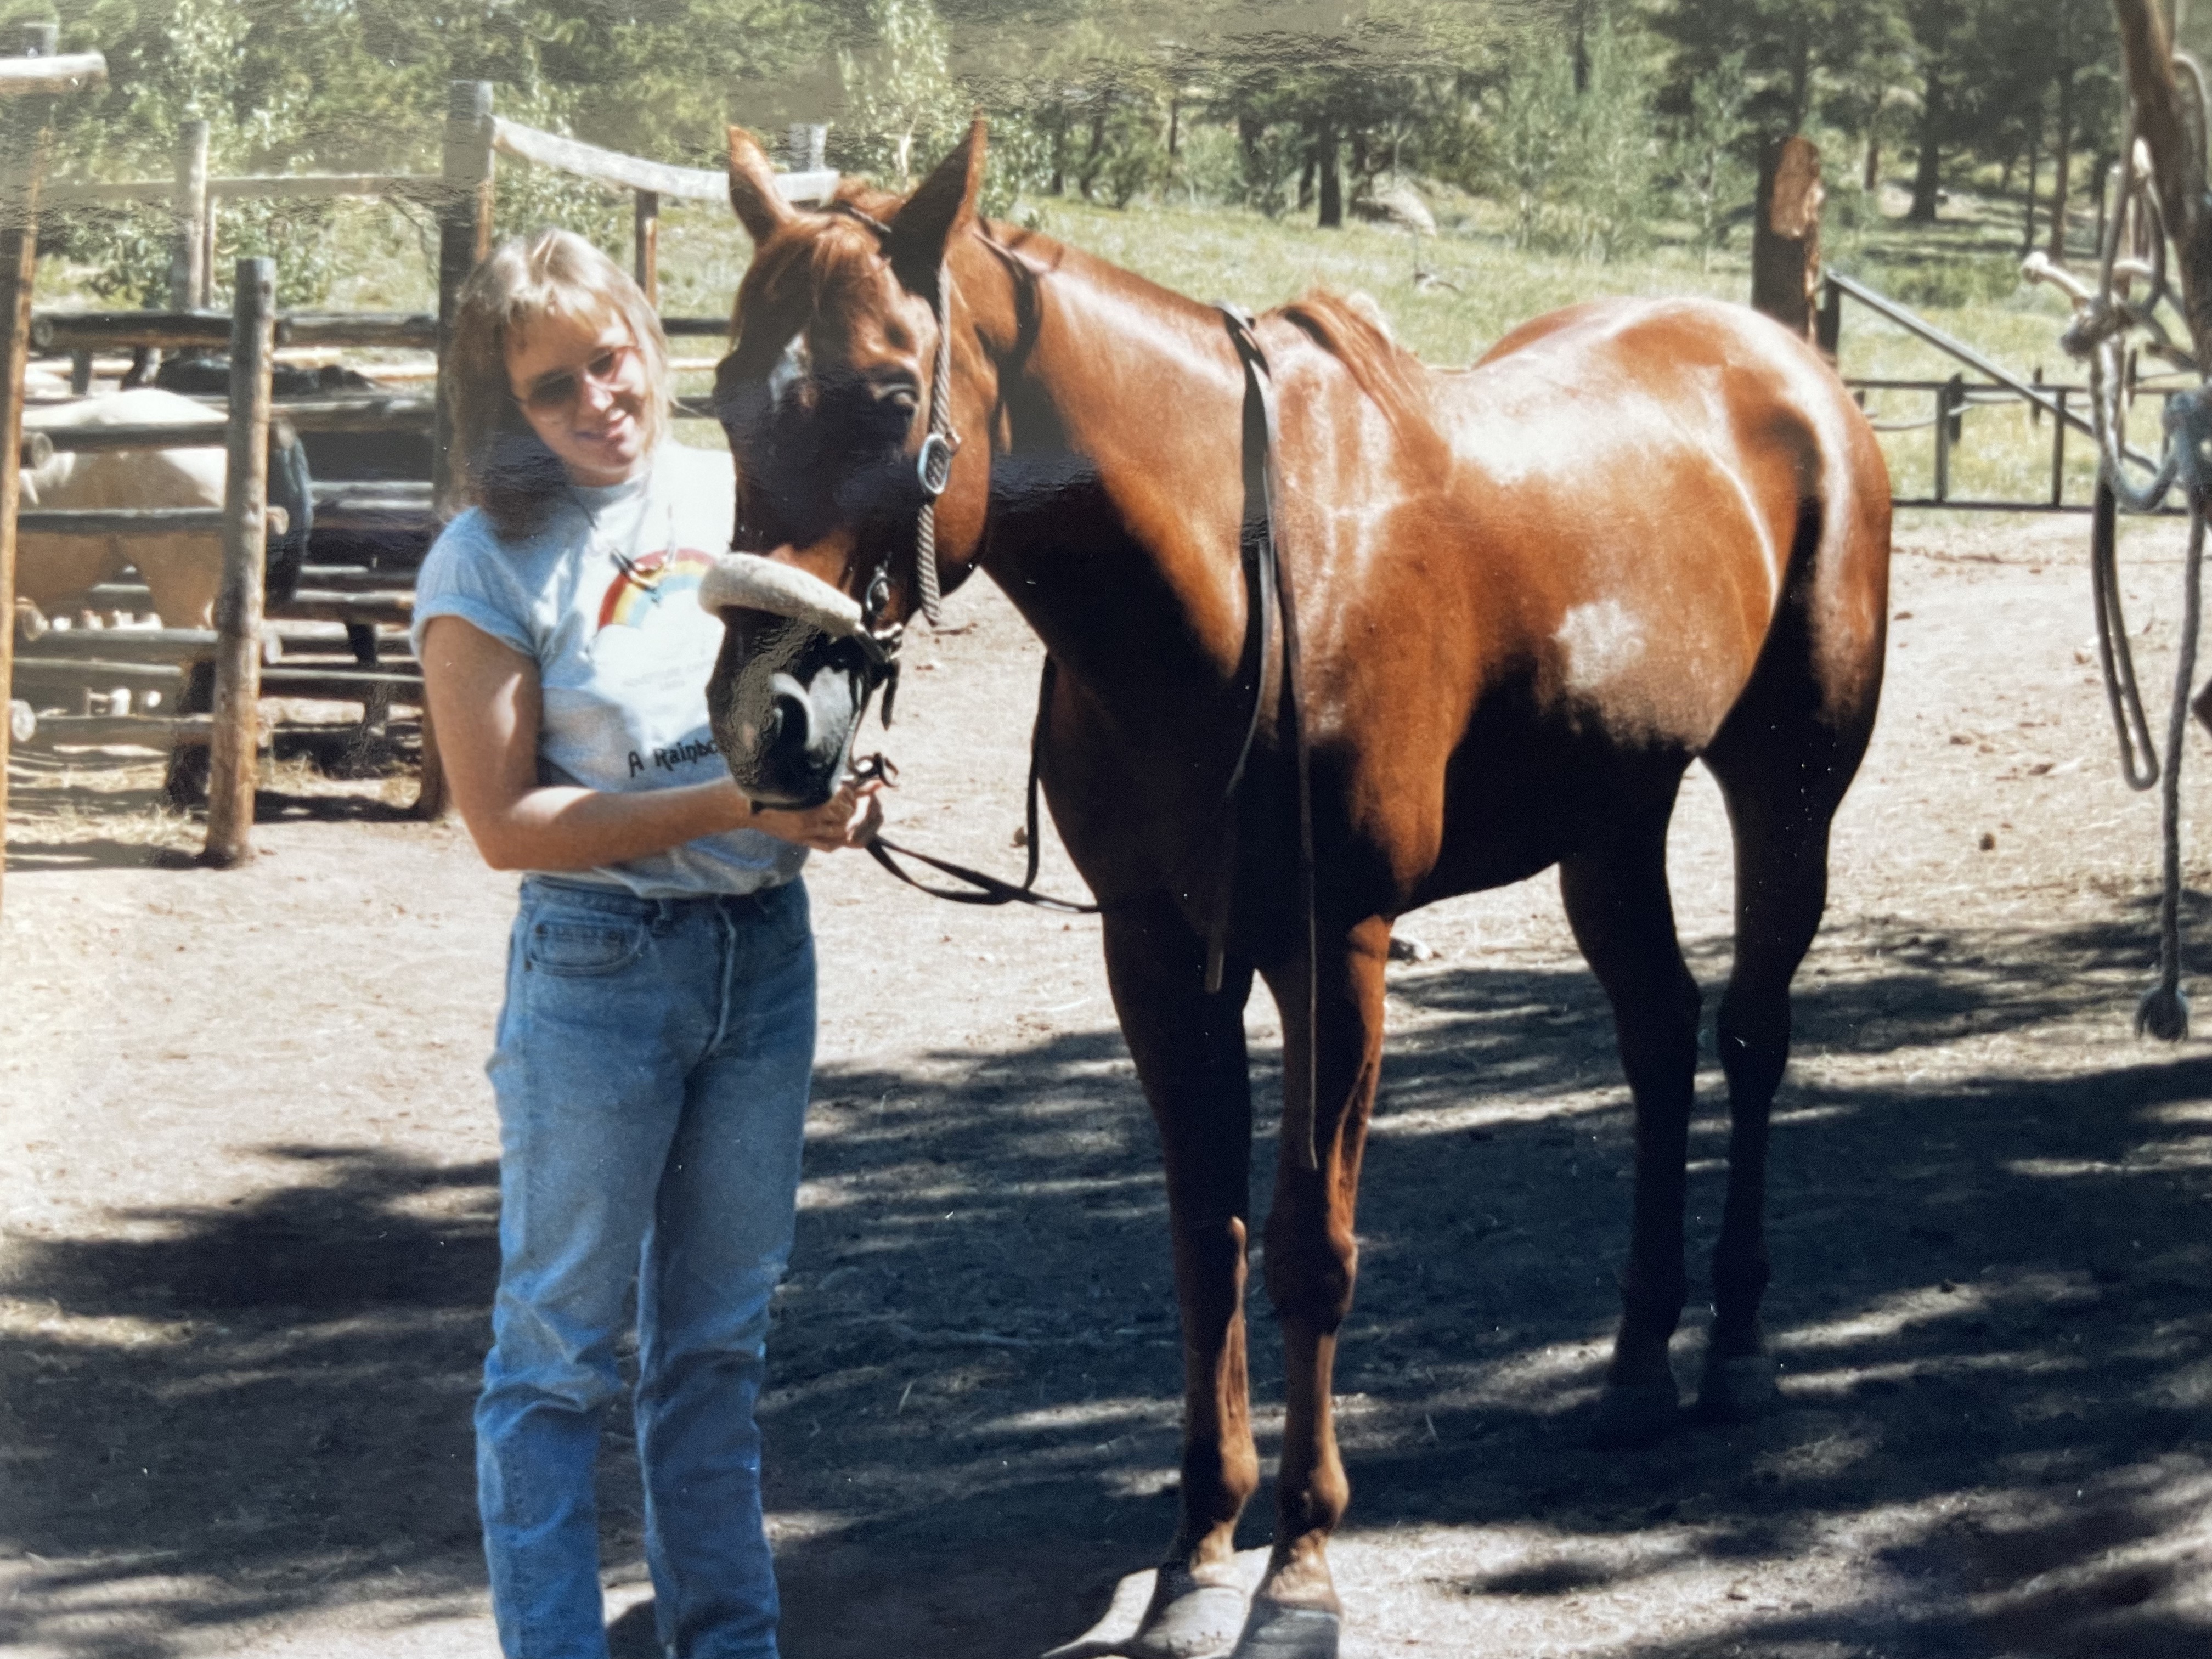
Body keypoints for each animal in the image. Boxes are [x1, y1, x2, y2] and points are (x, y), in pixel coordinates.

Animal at [699, 124, 1890, 1659]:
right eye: (725, 396)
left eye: (893, 396)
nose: (764, 719)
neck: (1237, 584)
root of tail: (1789, 367)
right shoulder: (1158, 955)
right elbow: (1206, 1242)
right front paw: (1200, 1552)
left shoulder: (1338, 951)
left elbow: (1310, 1250)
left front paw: (1301, 1568)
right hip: (1613, 821)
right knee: (1661, 1040)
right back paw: (1635, 1362)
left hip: (1787, 789)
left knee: (1748, 1037)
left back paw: (1737, 1346)